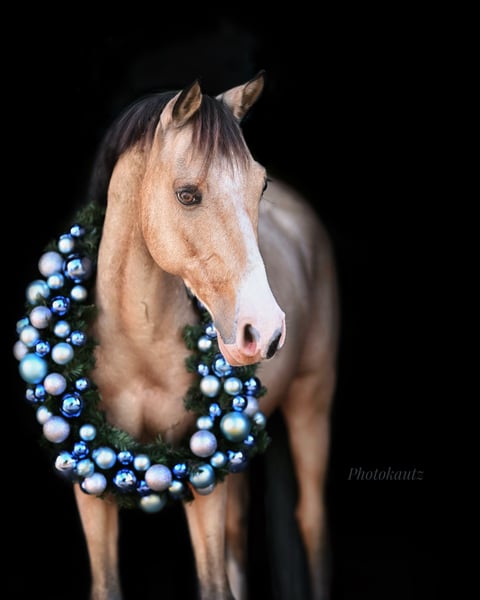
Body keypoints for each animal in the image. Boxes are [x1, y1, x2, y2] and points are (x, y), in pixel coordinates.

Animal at [15, 71, 339, 600]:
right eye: (187, 195)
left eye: (261, 184)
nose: (265, 331)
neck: (139, 346)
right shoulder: (91, 492)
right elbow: (109, 586)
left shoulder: (203, 482)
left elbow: (215, 585)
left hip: (311, 404)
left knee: (311, 525)